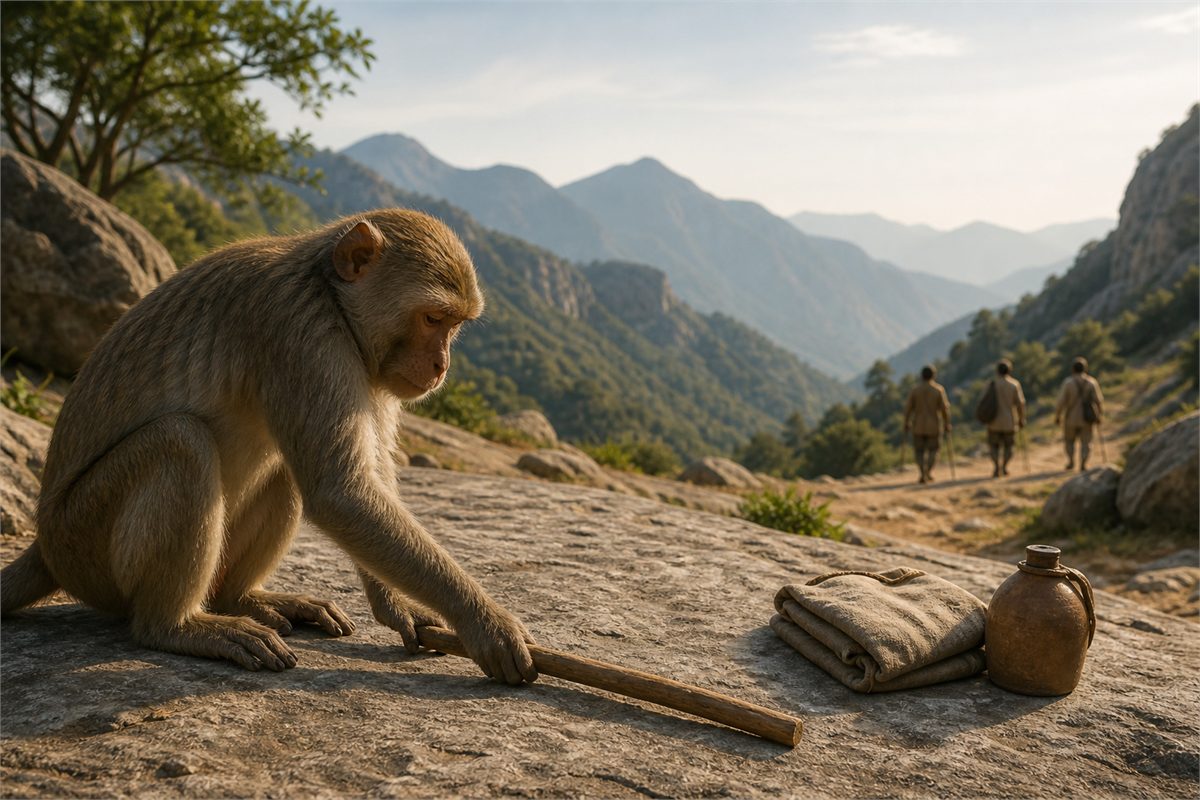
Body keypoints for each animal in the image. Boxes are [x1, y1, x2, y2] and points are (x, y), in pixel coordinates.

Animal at [0, 208, 537, 685]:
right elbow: (340, 492)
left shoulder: (370, 368)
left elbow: (364, 479)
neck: (329, 296)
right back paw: (177, 626)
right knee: (181, 443)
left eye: (454, 325)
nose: (441, 366)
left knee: (281, 468)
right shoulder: (302, 335)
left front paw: (399, 604)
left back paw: (242, 599)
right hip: (84, 543)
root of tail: (46, 544)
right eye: (433, 318)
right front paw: (484, 622)